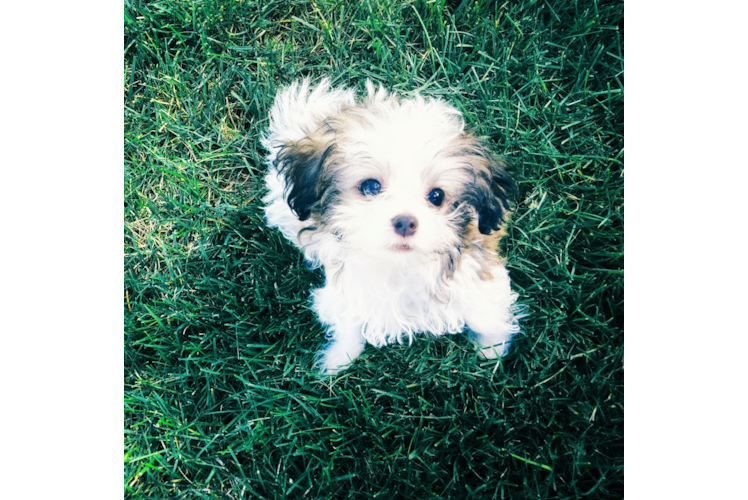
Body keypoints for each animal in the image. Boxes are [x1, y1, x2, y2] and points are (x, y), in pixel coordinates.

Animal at [262, 78, 520, 374]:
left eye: (437, 196)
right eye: (371, 187)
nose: (405, 222)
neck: (400, 267)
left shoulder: (476, 275)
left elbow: (484, 313)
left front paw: (493, 349)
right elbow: (348, 323)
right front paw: (339, 359)